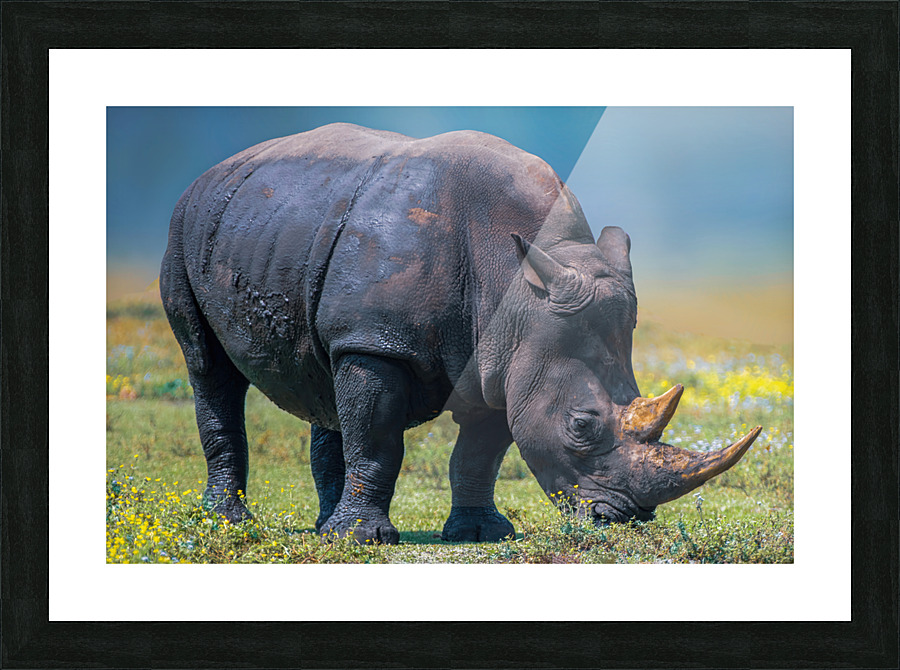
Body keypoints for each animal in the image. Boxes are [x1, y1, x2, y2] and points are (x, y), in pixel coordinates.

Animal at [160, 122, 760, 544]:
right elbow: (377, 438)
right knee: (209, 368)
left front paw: (480, 533)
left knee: (326, 377)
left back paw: (323, 526)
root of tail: (213, 172)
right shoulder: (379, 340)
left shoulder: (506, 360)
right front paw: (364, 541)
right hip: (186, 226)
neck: (520, 289)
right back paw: (232, 524)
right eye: (581, 425)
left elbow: (479, 453)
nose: (622, 518)